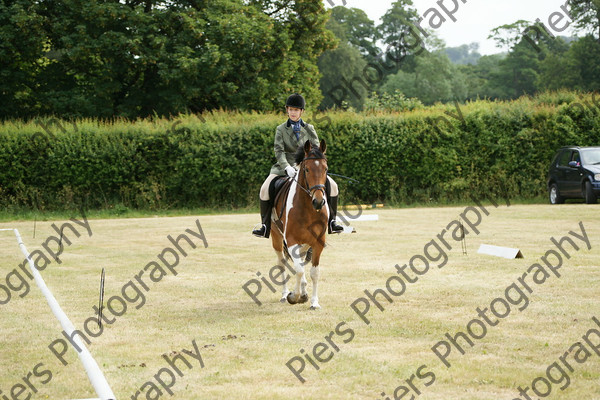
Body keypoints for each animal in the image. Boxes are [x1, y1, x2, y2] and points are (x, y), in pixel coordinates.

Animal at [270, 139, 328, 308]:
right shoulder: (291, 241)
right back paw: (285, 294)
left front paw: (314, 302)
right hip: (276, 238)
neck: (308, 207)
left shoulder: (318, 242)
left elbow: (314, 272)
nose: (318, 202)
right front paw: (293, 296)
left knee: (300, 261)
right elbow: (299, 270)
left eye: (326, 169)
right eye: (307, 169)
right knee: (282, 263)